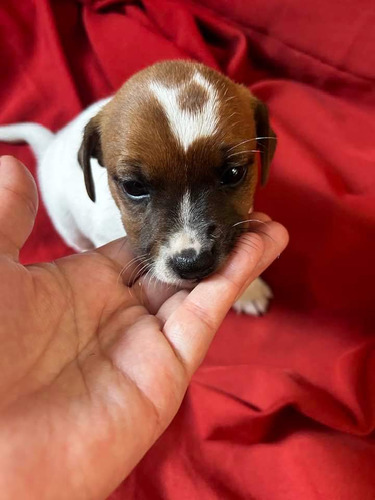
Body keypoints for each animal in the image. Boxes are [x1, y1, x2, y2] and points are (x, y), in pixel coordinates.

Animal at [0, 60, 276, 314]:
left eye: (234, 173)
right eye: (133, 186)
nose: (192, 263)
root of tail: (51, 145)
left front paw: (249, 289)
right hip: (67, 224)